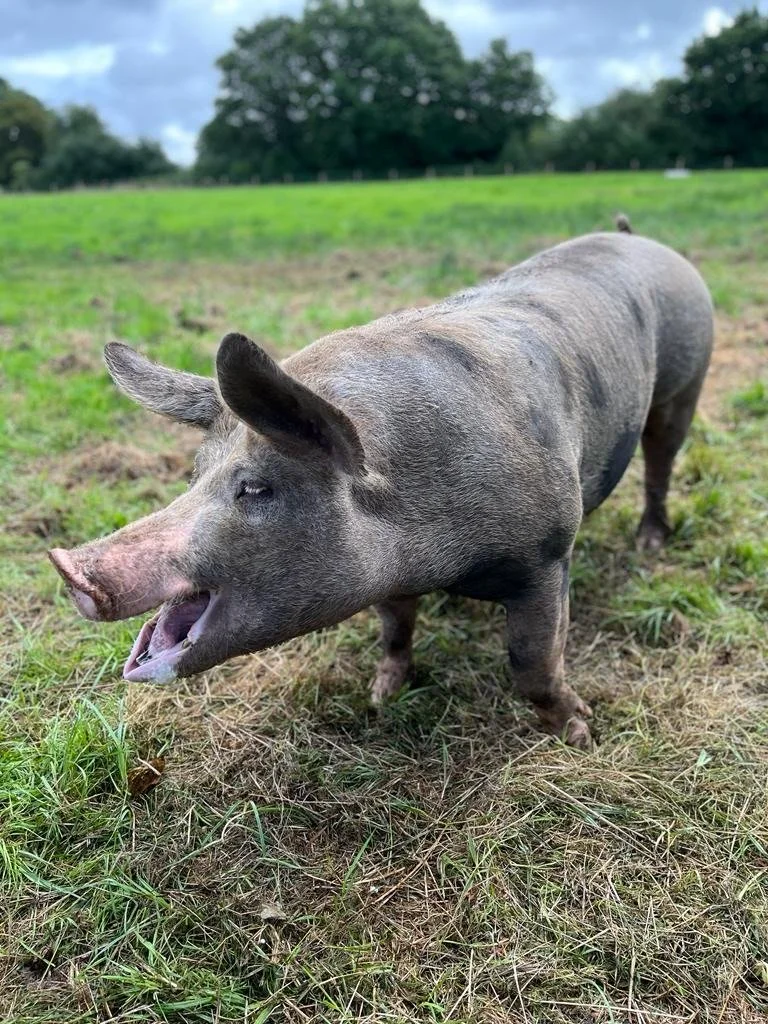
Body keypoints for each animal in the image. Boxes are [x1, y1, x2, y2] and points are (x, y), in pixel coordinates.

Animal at [49, 218, 713, 748]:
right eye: (193, 473)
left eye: (257, 488)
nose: (69, 565)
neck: (433, 553)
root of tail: (639, 239)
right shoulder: (390, 577)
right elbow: (395, 628)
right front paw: (381, 695)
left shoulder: (544, 554)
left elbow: (531, 663)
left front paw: (578, 733)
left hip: (688, 378)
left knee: (661, 460)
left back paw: (650, 542)